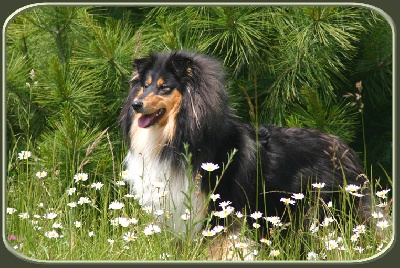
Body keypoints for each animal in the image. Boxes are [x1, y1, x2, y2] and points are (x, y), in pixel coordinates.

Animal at [119, 49, 372, 258]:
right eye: (145, 85)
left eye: (164, 87)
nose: (136, 105)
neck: (180, 137)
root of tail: (344, 149)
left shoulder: (220, 212)